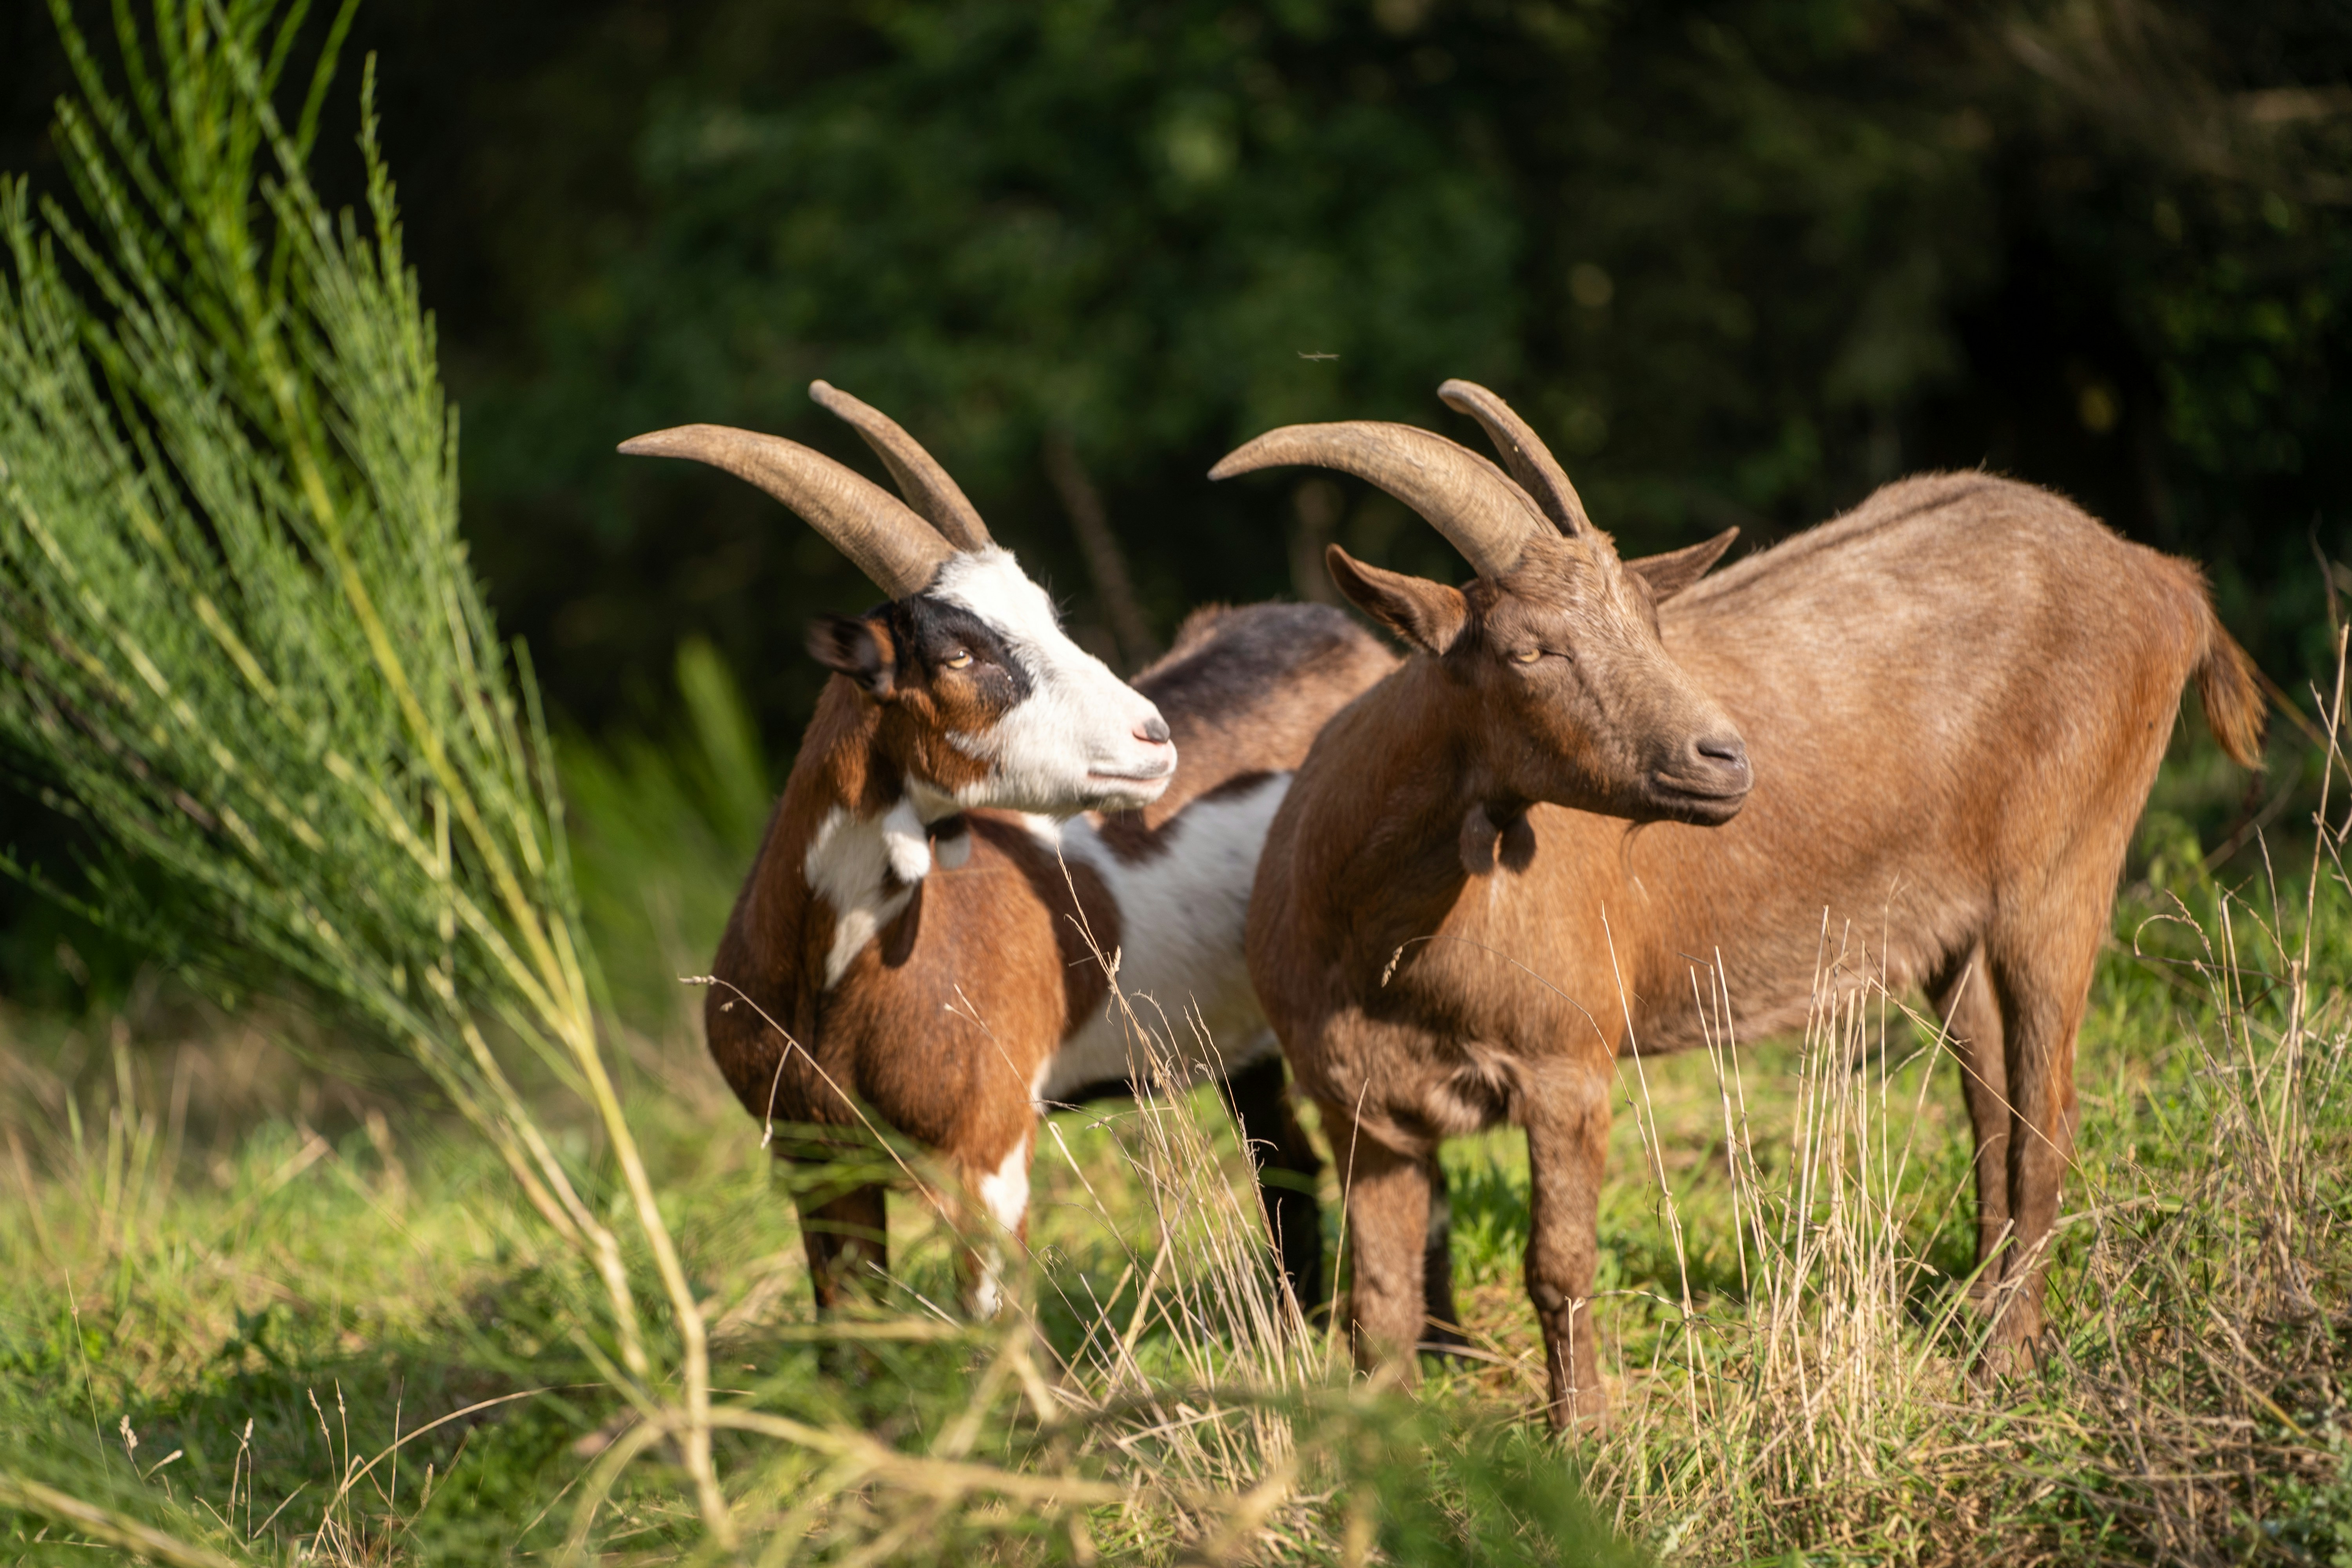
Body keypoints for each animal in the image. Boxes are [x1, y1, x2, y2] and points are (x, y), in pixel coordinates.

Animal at [623, 384, 1394, 1316]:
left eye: (1049, 618)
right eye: (959, 651)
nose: (1154, 737)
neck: (830, 976)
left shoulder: (987, 1147)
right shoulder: (817, 1160)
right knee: (1287, 1164)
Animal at [1220, 381, 2266, 1426]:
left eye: (1651, 625)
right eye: (1530, 650)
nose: (1721, 756)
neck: (1382, 938)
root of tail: (2166, 581)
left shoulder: (1567, 1064)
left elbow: (1558, 1265)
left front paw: (1584, 1433)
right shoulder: (1361, 1109)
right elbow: (1381, 1300)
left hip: (2063, 870)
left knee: (2048, 1109)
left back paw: (2005, 1360)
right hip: (1952, 932)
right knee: (1994, 1103)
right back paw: (1978, 1310)